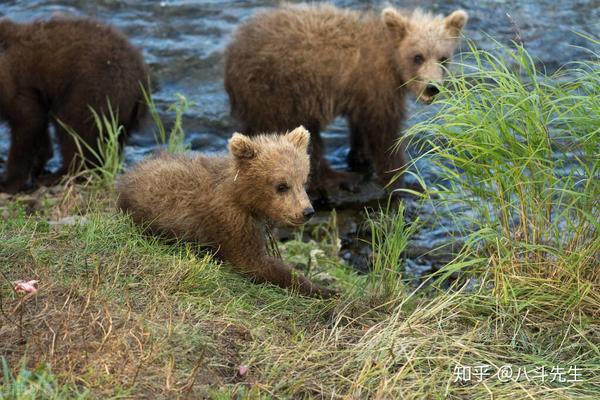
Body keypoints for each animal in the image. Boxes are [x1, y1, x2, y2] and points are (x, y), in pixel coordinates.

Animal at [0, 16, 149, 195]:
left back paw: (58, 176)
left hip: (91, 89)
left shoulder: (15, 85)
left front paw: (8, 183)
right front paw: (39, 162)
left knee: (75, 131)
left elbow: (27, 123)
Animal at [225, 3, 468, 195]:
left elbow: (360, 125)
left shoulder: (362, 93)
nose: (432, 88)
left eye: (443, 58)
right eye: (418, 56)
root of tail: (232, 49)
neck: (392, 60)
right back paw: (339, 178)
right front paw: (398, 176)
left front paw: (360, 157)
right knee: (304, 138)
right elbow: (384, 131)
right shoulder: (377, 85)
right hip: (279, 91)